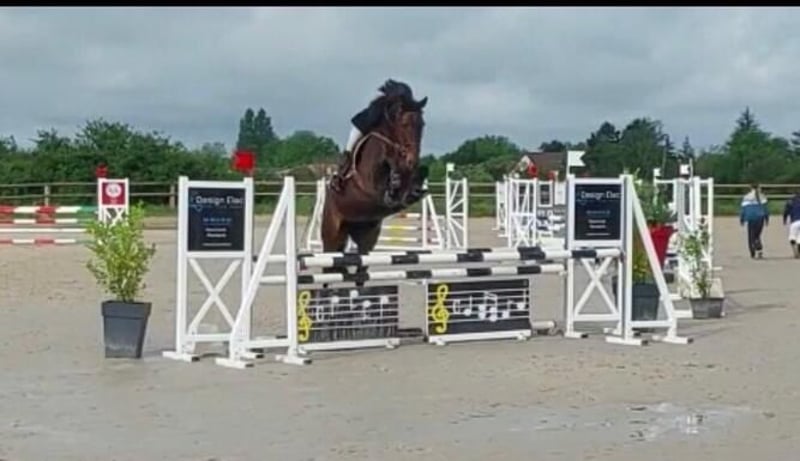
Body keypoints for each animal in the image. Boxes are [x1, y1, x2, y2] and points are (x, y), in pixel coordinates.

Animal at [320, 92, 429, 283]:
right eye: (405, 124)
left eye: (422, 125)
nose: (412, 160)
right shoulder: (369, 187)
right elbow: (384, 189)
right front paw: (394, 187)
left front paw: (413, 188)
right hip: (332, 234)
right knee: (329, 263)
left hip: (367, 236)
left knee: (361, 266)